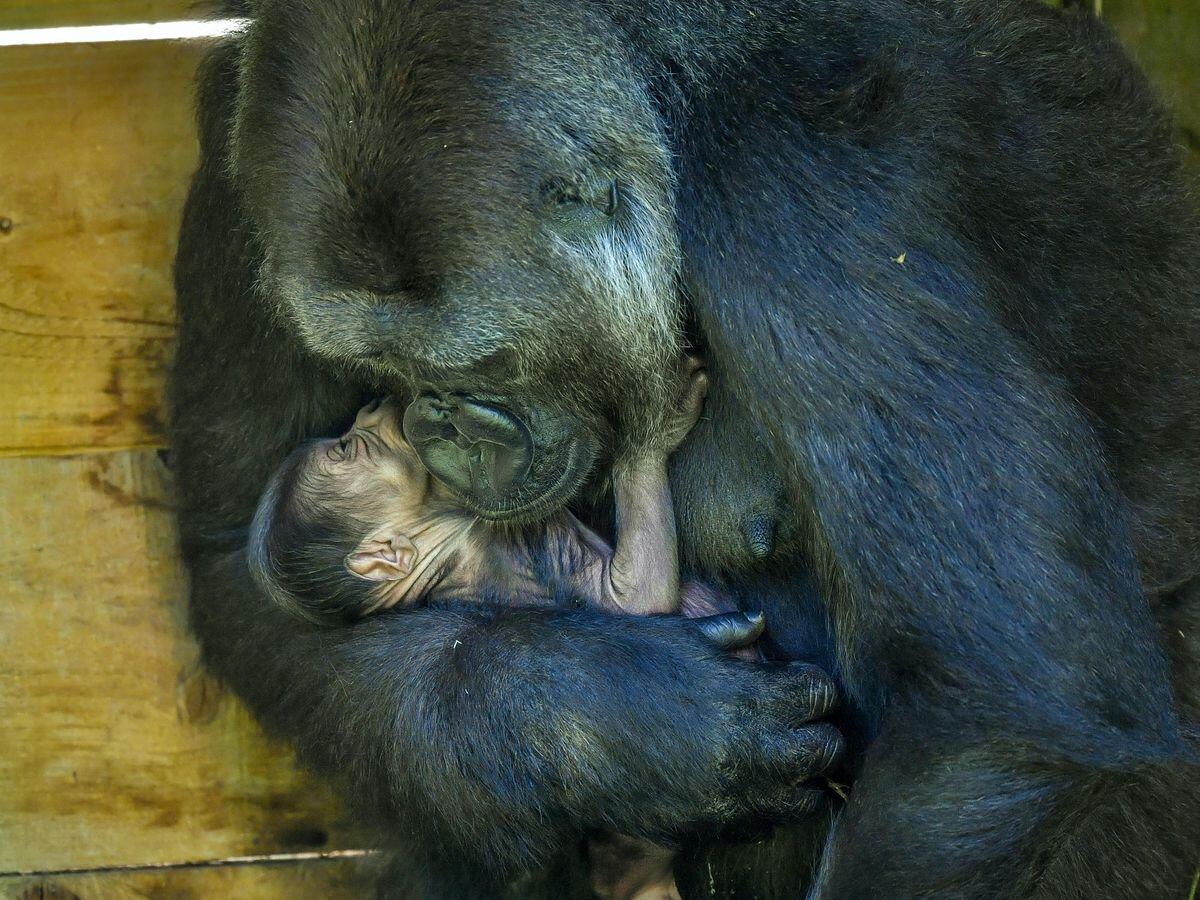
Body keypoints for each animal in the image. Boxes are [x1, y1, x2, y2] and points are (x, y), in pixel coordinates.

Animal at [250, 362, 758, 900]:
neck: (440, 549)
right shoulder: (510, 541)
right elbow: (634, 596)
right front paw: (654, 432)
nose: (369, 408)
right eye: (346, 448)